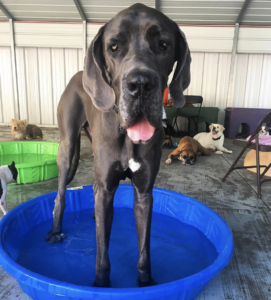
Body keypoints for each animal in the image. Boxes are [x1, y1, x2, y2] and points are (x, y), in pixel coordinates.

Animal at [46, 2, 191, 288]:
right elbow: (102, 253)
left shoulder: (144, 193)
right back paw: (56, 229)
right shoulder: (106, 186)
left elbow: (144, 249)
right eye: (114, 47)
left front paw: (146, 283)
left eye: (163, 44)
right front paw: (101, 285)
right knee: (61, 194)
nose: (140, 84)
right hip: (67, 147)